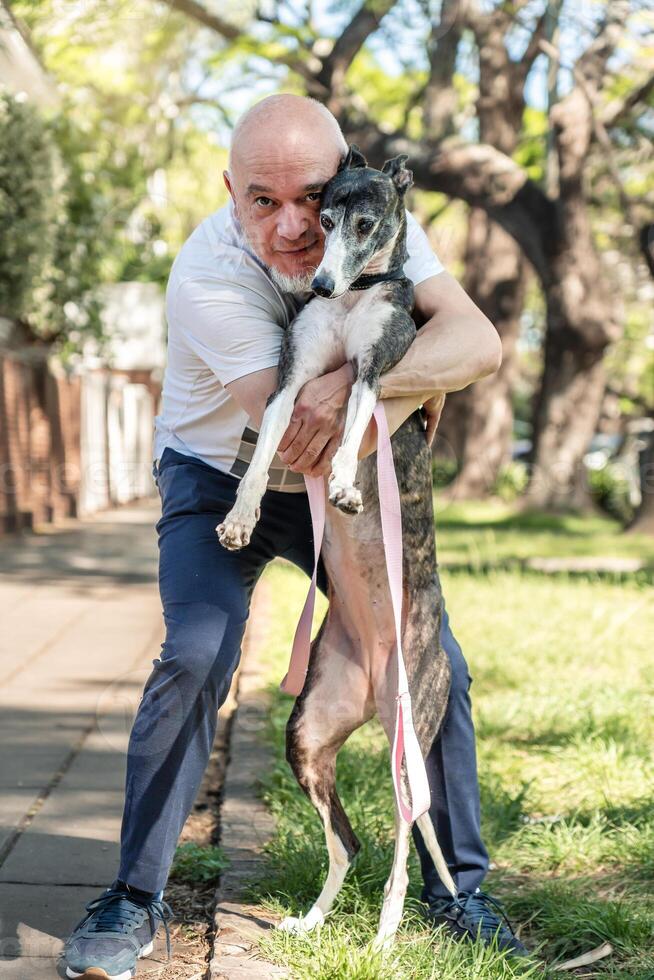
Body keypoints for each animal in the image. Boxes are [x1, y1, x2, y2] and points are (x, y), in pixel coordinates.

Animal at [218, 147, 454, 948]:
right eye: (322, 219)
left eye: (367, 222)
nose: (318, 283)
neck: (355, 296)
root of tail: (379, 685)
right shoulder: (294, 379)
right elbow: (263, 454)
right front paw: (239, 517)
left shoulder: (372, 373)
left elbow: (354, 427)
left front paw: (349, 484)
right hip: (309, 735)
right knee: (348, 842)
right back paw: (314, 921)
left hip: (411, 745)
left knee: (407, 838)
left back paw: (384, 933)